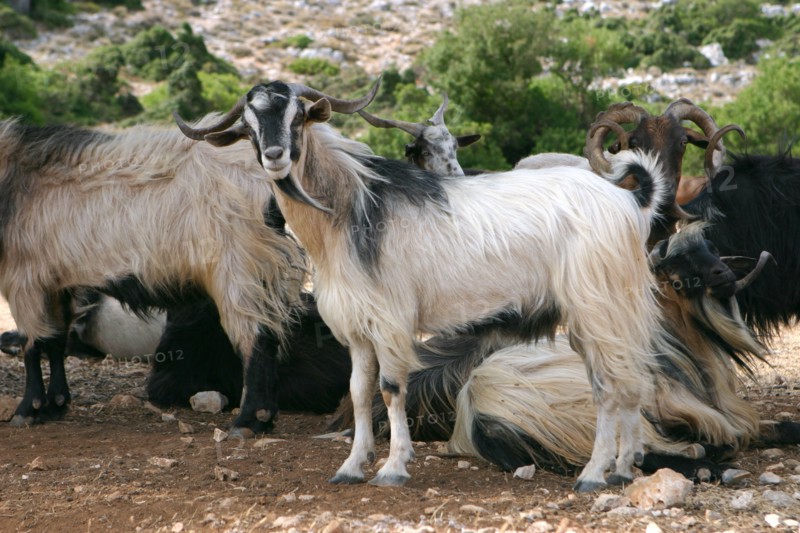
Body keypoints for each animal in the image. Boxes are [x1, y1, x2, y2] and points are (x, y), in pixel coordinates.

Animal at [0, 116, 319, 430]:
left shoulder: (23, 279)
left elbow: (32, 345)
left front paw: (27, 410)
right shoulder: (56, 282)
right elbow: (54, 340)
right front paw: (56, 405)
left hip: (241, 267)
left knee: (256, 335)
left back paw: (249, 420)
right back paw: (263, 417)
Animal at [175, 79, 673, 492]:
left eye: (298, 115)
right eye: (249, 125)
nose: (275, 156)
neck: (350, 210)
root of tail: (629, 200)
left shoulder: (392, 319)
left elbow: (392, 388)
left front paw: (394, 467)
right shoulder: (356, 325)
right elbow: (359, 390)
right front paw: (351, 466)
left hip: (597, 304)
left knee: (609, 384)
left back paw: (593, 475)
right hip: (607, 312)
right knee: (629, 377)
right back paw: (624, 468)